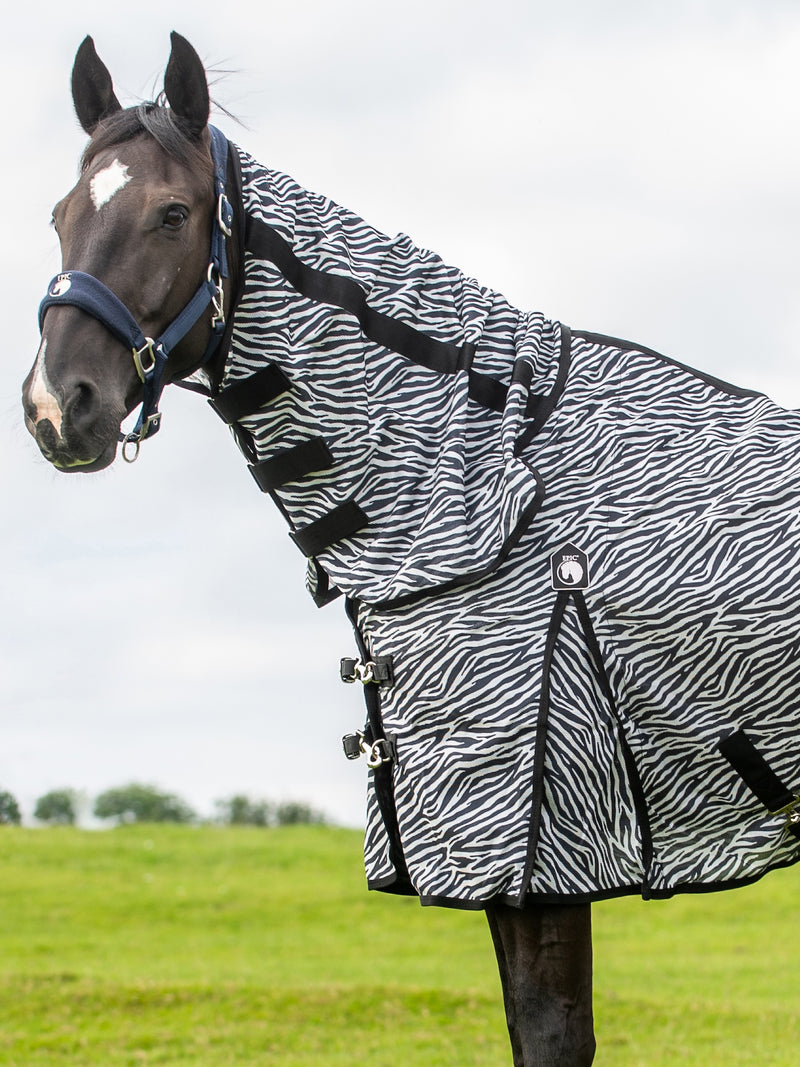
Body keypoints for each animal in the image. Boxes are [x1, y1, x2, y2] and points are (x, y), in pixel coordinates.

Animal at [22, 33, 800, 1066]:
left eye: (172, 213)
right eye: (61, 216)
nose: (56, 406)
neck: (484, 482)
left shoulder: (531, 851)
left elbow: (552, 1034)